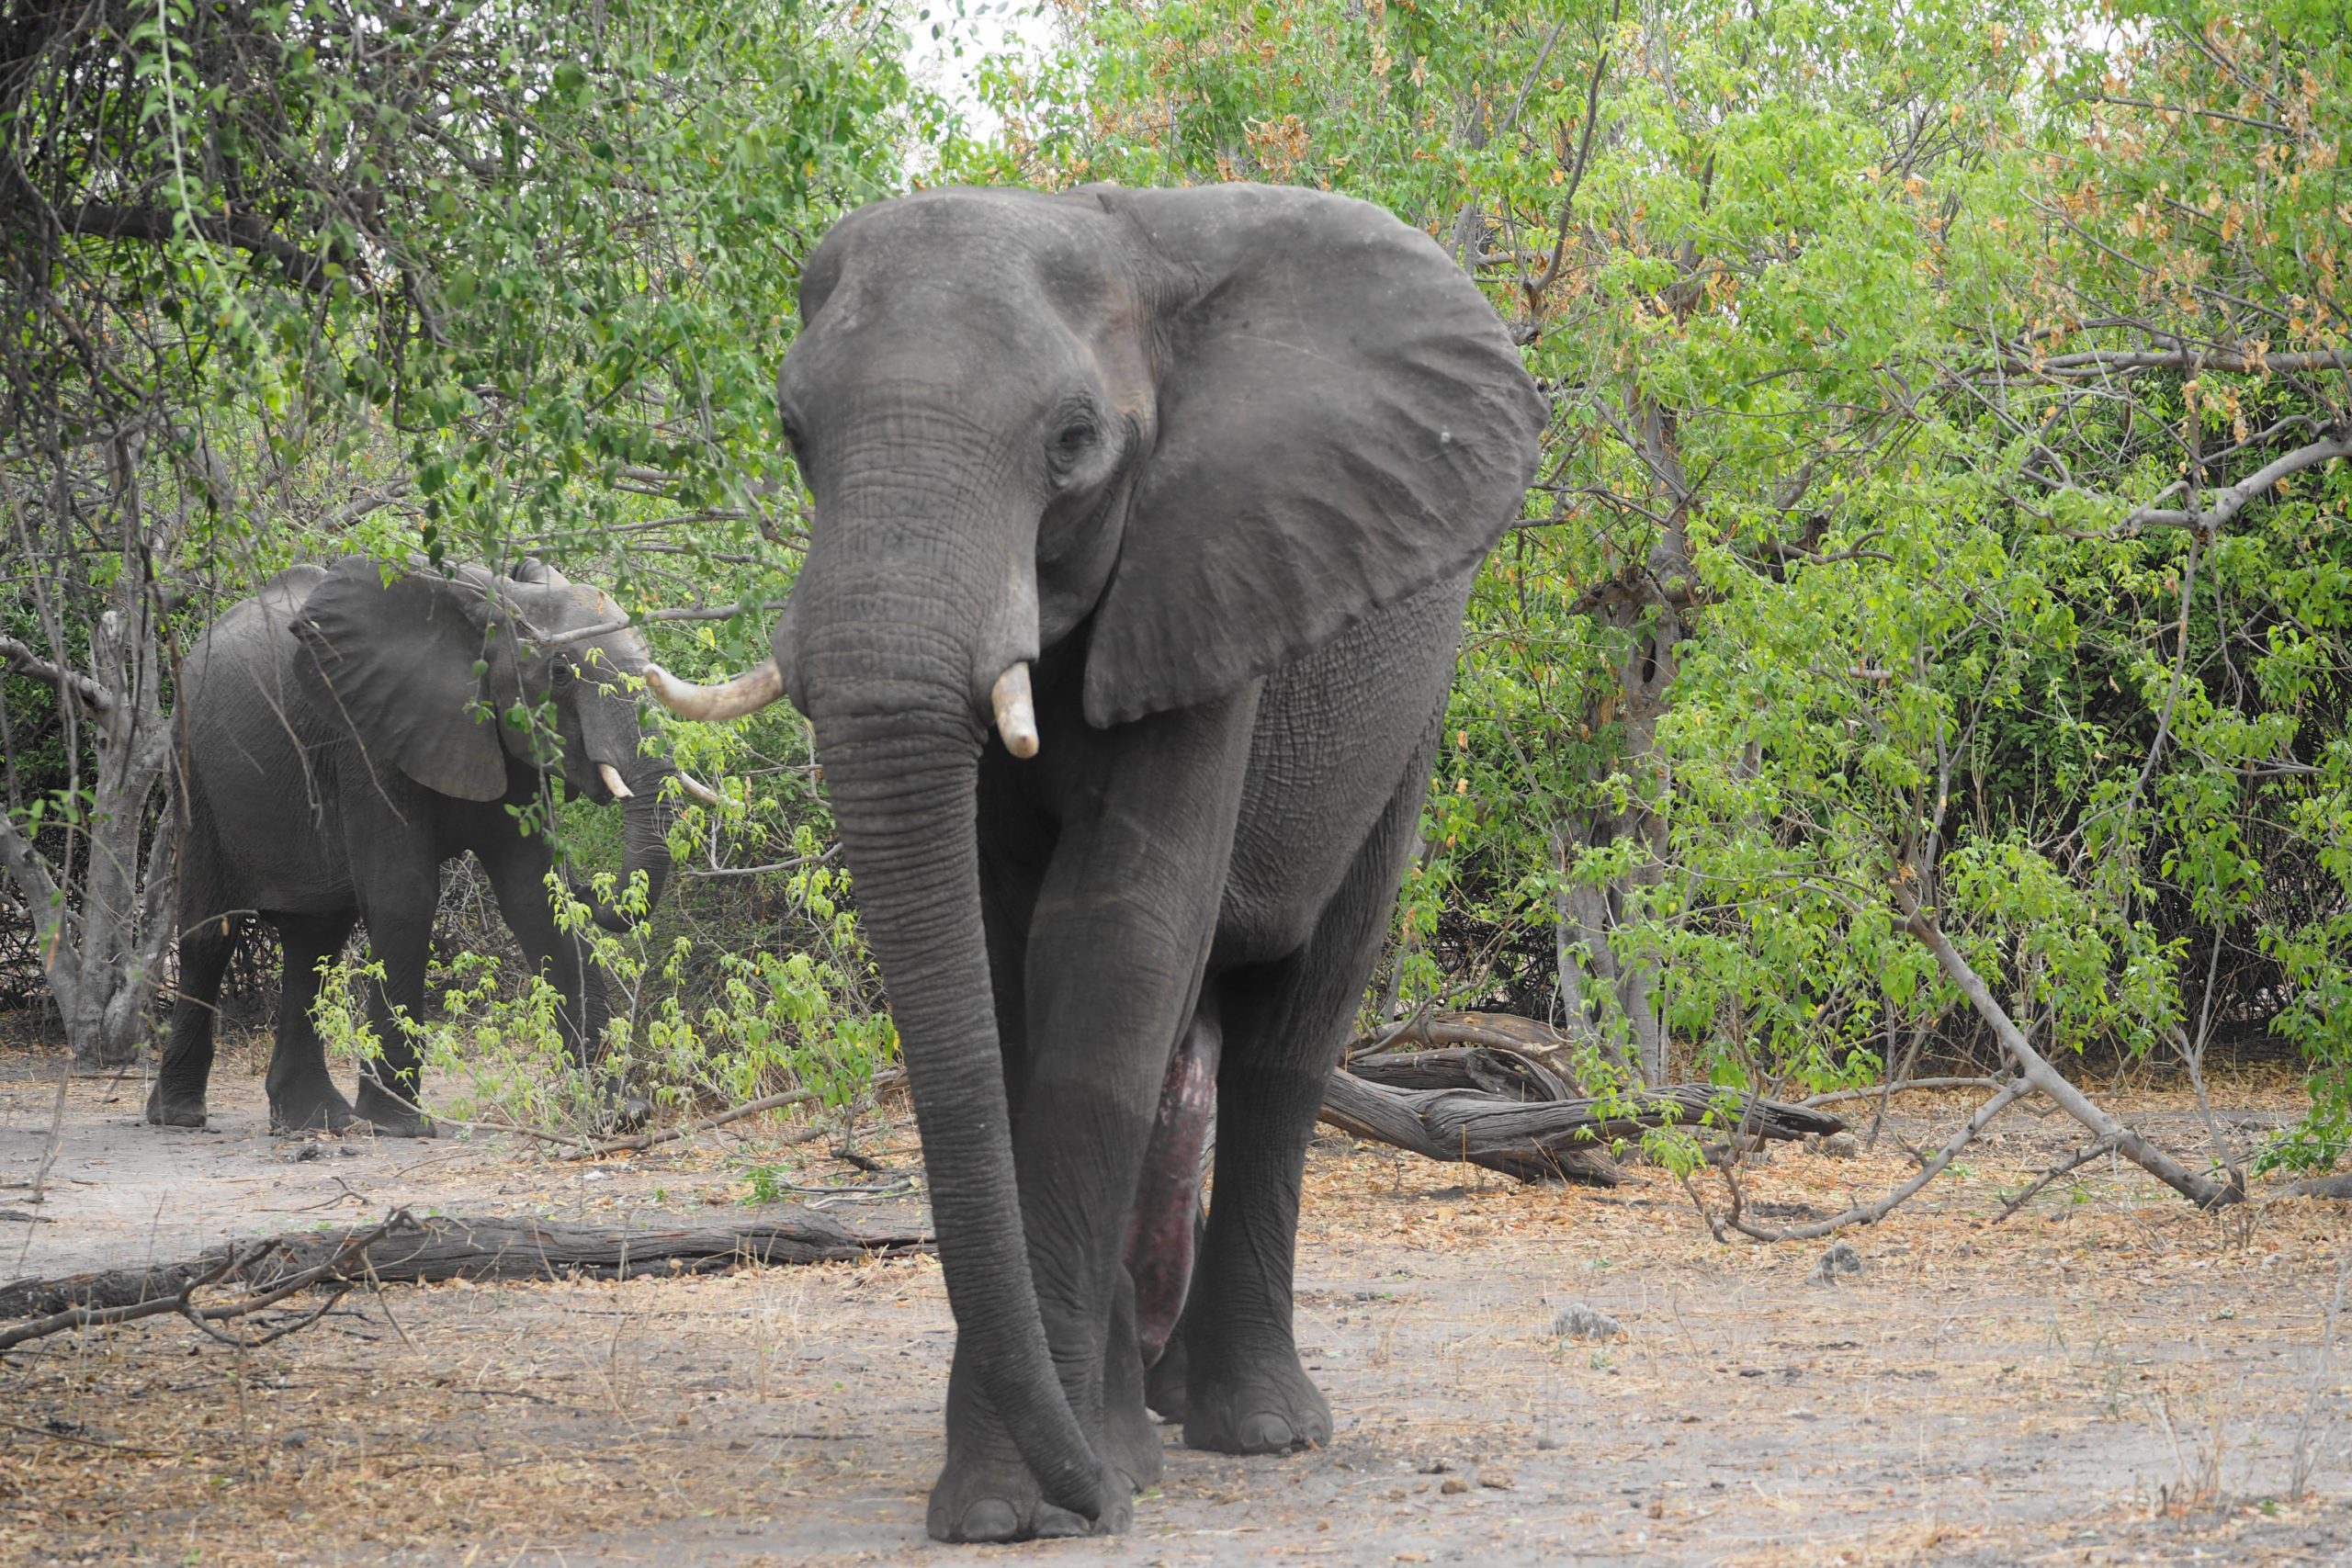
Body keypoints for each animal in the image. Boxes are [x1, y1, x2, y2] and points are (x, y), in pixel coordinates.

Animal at [147, 554, 709, 1137]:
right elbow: (405, 896)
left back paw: (317, 1121)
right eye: (559, 673)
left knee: (315, 941)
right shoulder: (368, 738)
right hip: (194, 772)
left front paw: (621, 1114)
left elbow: (536, 898)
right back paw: (182, 1116)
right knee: (210, 935)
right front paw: (398, 1126)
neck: (487, 599)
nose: (588, 881)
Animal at [648, 182, 1544, 1541]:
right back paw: (1157, 1416)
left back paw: (1255, 1428)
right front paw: (1044, 1485)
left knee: (1290, 1036)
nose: (1096, 1498)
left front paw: (1047, 1494)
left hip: (1406, 727)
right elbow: (1005, 968)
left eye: (1072, 442)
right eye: (793, 433)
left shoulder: (1212, 571)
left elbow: (1112, 938)